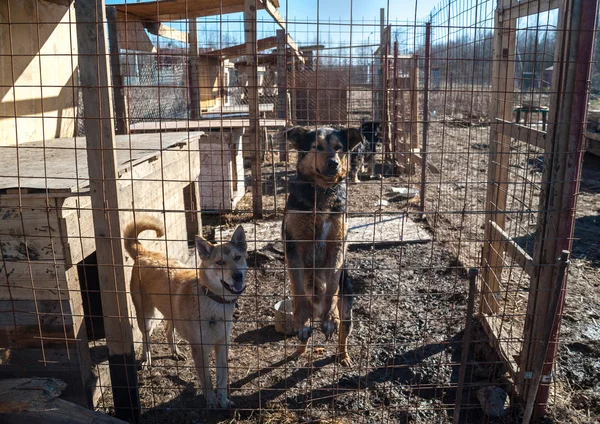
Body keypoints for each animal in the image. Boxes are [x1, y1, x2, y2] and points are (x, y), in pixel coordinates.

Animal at [125, 215, 247, 408]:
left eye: (238, 257)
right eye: (220, 262)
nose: (238, 276)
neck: (214, 301)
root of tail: (145, 253)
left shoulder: (222, 345)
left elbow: (222, 378)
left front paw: (224, 401)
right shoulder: (199, 350)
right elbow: (207, 381)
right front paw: (212, 403)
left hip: (170, 313)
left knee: (168, 330)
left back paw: (175, 352)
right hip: (146, 317)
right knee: (146, 338)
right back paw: (146, 359)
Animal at [282, 124, 360, 366]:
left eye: (339, 148)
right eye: (316, 146)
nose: (334, 163)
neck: (322, 191)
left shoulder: (337, 244)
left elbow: (332, 284)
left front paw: (330, 318)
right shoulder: (293, 245)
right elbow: (297, 286)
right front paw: (301, 321)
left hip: (348, 309)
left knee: (343, 333)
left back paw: (344, 356)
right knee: (304, 334)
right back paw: (299, 348)